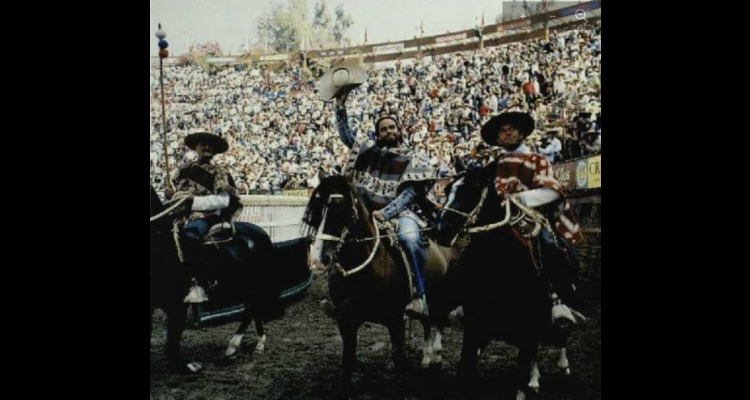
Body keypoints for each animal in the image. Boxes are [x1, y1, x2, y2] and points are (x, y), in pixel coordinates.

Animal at [150, 184, 284, 372]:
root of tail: (262, 233)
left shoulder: (177, 305)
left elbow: (172, 342)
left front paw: (187, 367)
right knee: (253, 307)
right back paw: (258, 343)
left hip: (252, 284)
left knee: (251, 308)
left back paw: (233, 347)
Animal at [302, 175, 456, 396]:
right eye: (317, 208)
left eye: (343, 209)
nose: (317, 259)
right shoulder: (346, 320)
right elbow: (348, 361)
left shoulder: (396, 321)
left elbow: (399, 360)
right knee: (427, 321)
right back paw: (427, 358)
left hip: (445, 294)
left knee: (439, 320)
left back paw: (436, 354)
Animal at [432, 162, 580, 400]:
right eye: (446, 190)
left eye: (472, 189)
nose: (439, 230)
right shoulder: (475, 325)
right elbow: (465, 369)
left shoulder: (529, 328)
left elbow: (520, 382)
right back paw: (535, 378)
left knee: (561, 335)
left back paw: (560, 366)